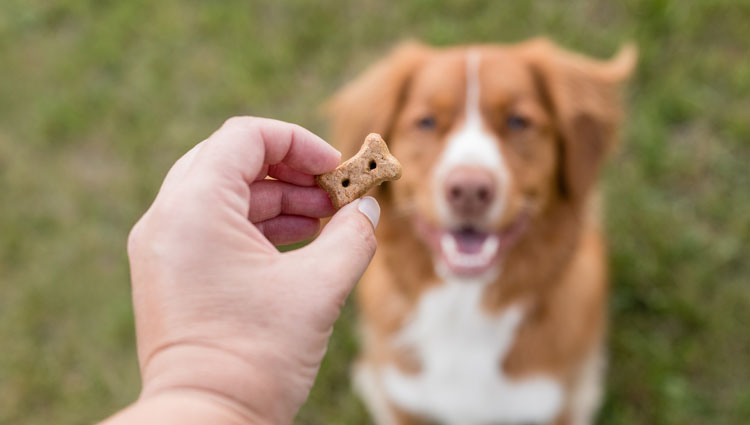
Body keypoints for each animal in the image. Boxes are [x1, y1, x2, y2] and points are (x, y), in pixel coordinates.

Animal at [326, 37, 636, 424]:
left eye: (518, 121)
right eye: (426, 122)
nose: (469, 190)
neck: (466, 307)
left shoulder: (558, 403)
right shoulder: (400, 398)